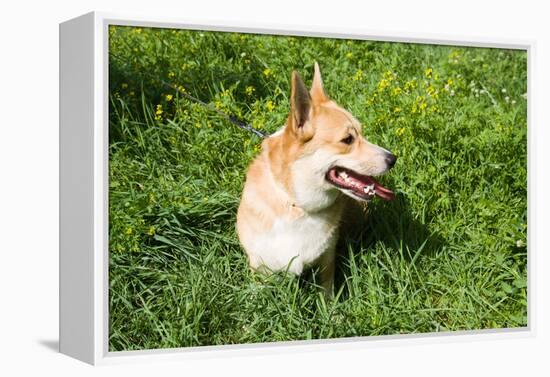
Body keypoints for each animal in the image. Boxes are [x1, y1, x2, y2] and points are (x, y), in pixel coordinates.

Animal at [237, 63, 396, 296]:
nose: (393, 159)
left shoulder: (327, 258)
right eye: (347, 140)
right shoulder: (258, 264)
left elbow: (326, 288)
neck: (298, 206)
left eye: (361, 133)